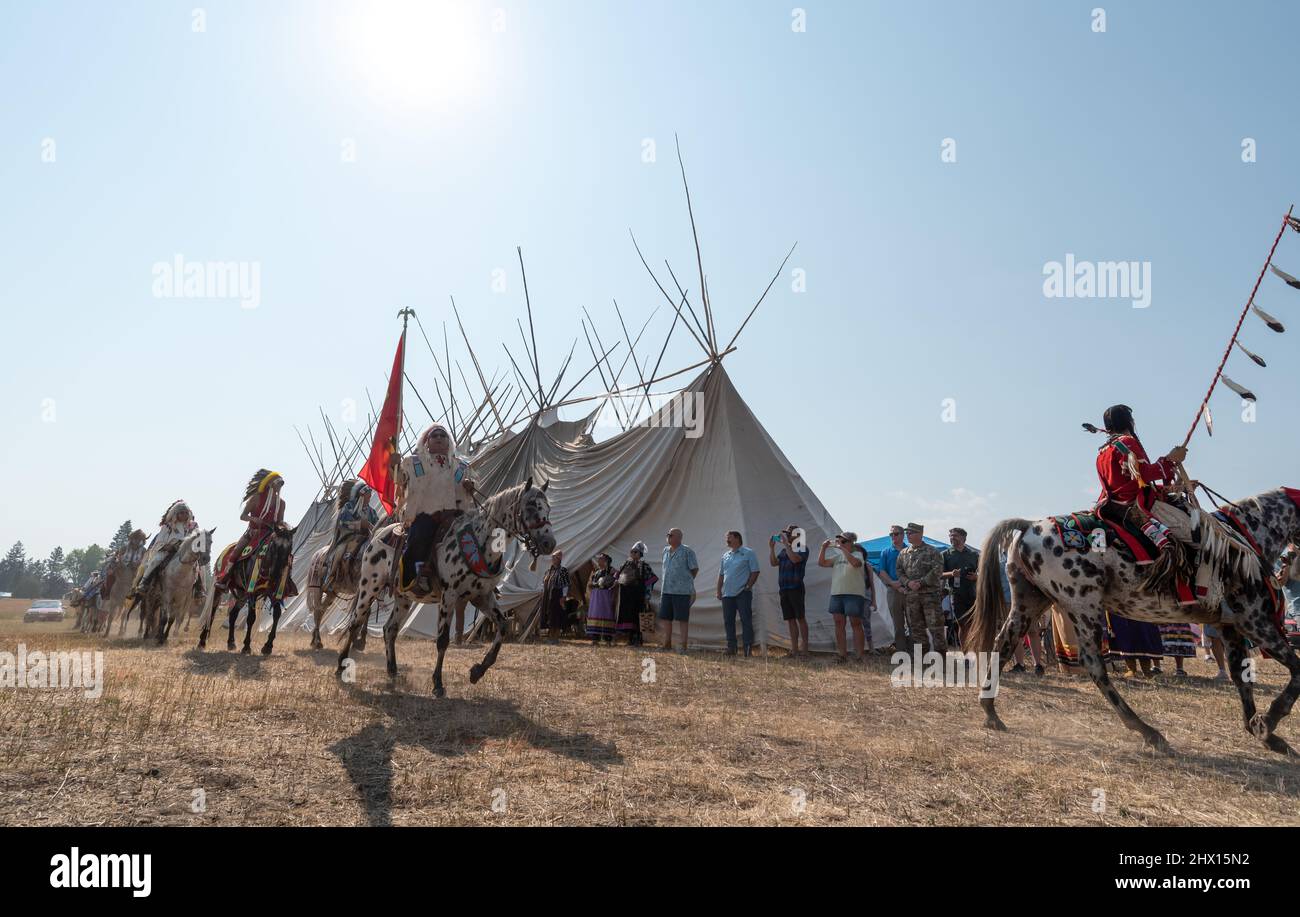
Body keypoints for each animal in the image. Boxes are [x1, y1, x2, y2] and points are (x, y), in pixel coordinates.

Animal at [335, 478, 553, 691]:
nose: (549, 543)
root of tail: (378, 534)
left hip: (403, 598)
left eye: (548, 508)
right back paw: (341, 667)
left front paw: (478, 671)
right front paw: (438, 683)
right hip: (369, 587)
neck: (479, 542)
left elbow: (503, 626)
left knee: (390, 629)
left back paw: (393, 671)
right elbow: (442, 640)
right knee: (355, 623)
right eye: (531, 506)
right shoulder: (449, 596)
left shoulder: (482, 596)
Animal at [967, 483, 1300, 754]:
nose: (1289, 559)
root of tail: (1027, 526)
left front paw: (1262, 731)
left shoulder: (1229, 626)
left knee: (1004, 643)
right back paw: (1147, 731)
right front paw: (1268, 721)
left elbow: (1241, 676)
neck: (1245, 538)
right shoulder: (1255, 621)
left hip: (1031, 601)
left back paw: (990, 711)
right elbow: (1296, 670)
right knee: (1093, 664)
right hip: (1082, 604)